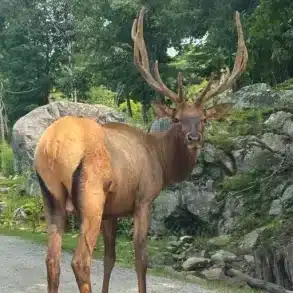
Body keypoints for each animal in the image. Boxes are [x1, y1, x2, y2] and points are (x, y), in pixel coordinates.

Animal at [33, 5, 246, 292]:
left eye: (203, 119)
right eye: (177, 118)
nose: (193, 138)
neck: (162, 162)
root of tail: (52, 148)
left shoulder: (112, 211)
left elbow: (110, 258)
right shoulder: (144, 198)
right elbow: (141, 257)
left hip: (51, 196)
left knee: (52, 260)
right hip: (91, 195)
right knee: (80, 261)